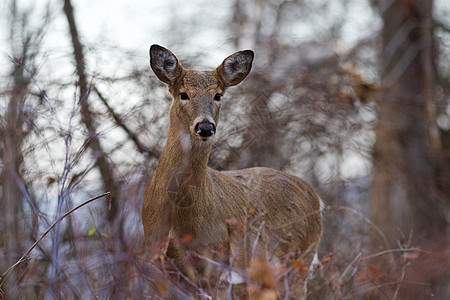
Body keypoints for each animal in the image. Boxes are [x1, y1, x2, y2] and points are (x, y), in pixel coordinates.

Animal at [142, 45, 322, 300]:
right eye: (183, 94)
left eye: (218, 95)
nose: (205, 126)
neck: (180, 216)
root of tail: (315, 196)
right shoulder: (157, 262)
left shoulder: (216, 261)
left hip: (298, 260)